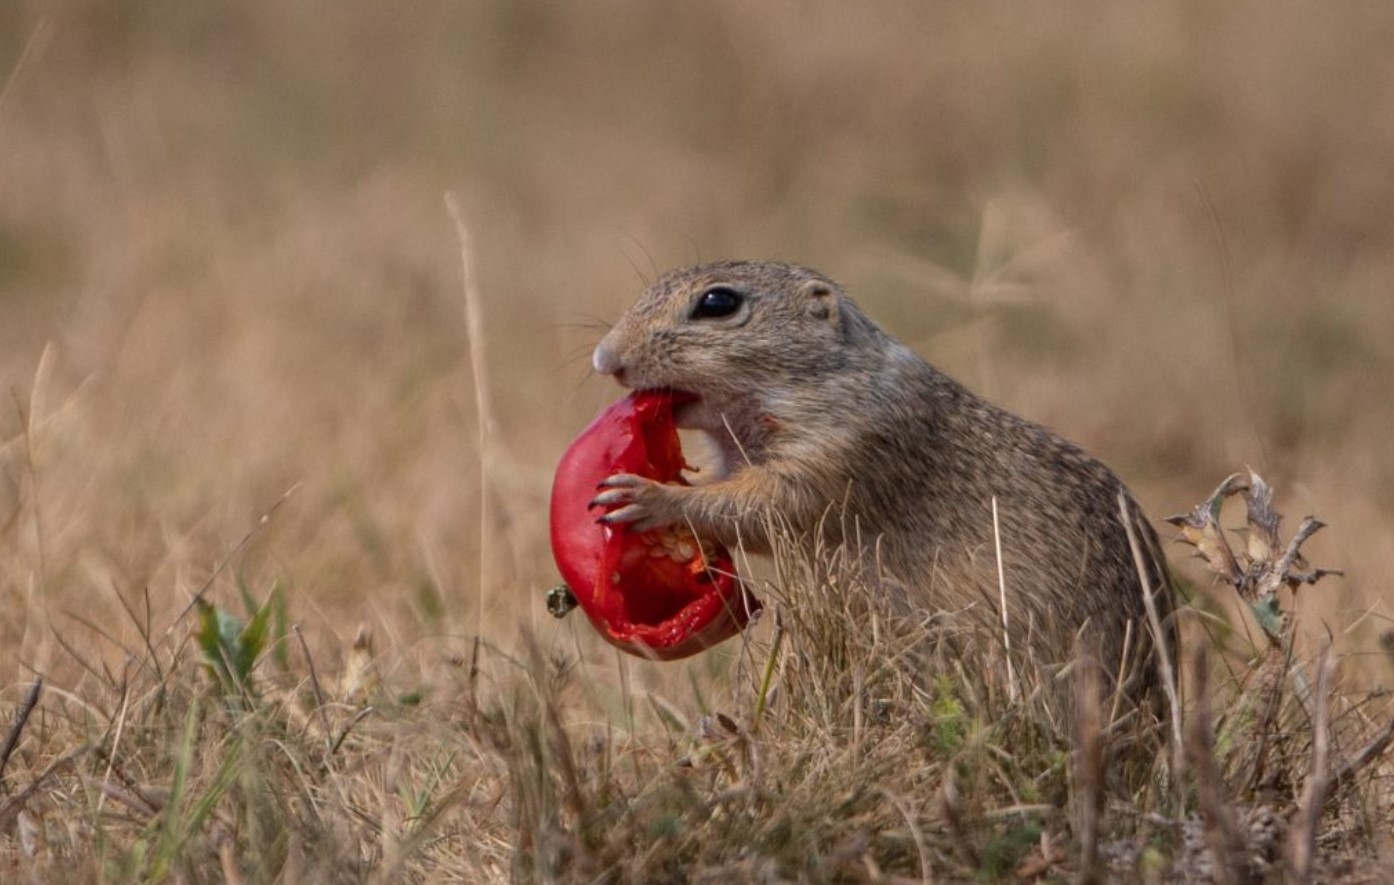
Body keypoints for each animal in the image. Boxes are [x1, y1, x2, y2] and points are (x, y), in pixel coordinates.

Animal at [585, 259, 1165, 702]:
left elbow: (760, 508)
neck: (825, 379)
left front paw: (647, 496)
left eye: (718, 302)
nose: (604, 359)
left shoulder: (840, 453)